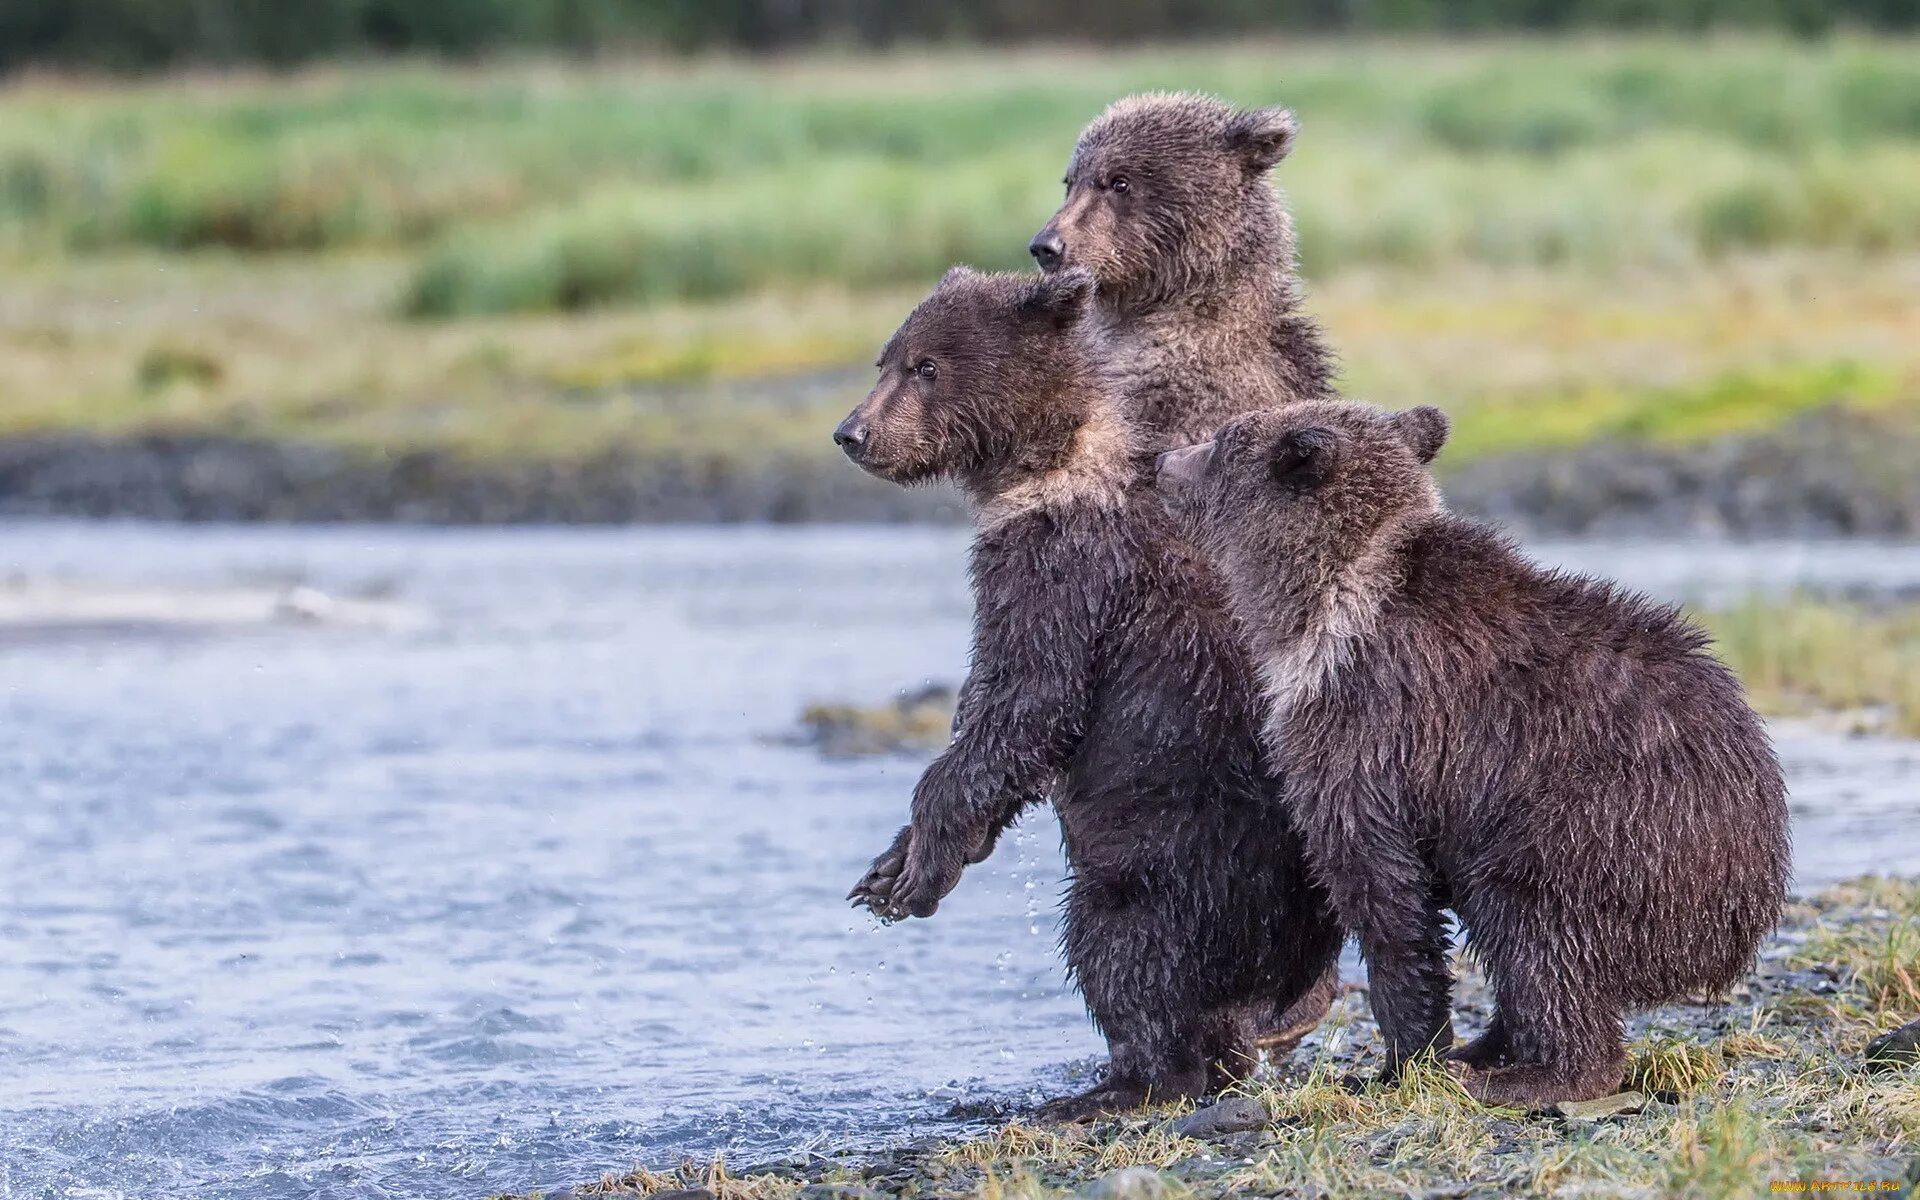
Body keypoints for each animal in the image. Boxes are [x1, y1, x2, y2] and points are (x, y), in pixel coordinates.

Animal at [833, 266, 1344, 1121]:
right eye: (887, 359)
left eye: (926, 366)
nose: (852, 433)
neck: (1050, 468)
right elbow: (990, 719)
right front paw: (883, 870)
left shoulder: (1065, 571)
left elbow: (1025, 707)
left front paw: (916, 872)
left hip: (1180, 866)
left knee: (1120, 947)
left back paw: (1111, 1087)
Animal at [1152, 399, 1797, 1105]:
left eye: (1222, 440)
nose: (1163, 460)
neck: (1330, 606)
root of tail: (1742, 921)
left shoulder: (1364, 727)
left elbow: (1382, 892)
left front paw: (1399, 1060)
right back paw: (1490, 1048)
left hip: (1605, 835)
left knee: (1534, 928)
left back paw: (1526, 1076)